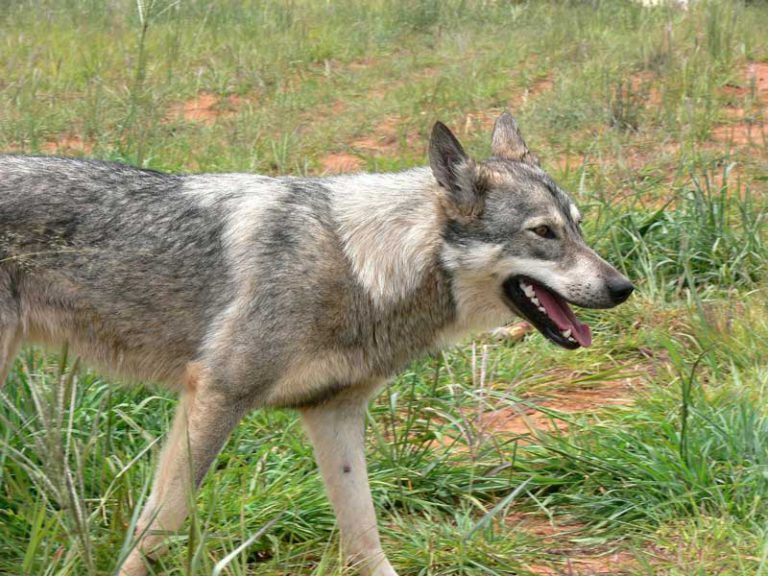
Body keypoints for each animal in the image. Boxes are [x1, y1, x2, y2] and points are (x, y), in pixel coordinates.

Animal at [0, 113, 633, 576]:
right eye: (544, 233)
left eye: (578, 227)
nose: (623, 287)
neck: (359, 266)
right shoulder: (217, 396)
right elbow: (161, 524)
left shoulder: (333, 414)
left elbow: (365, 538)